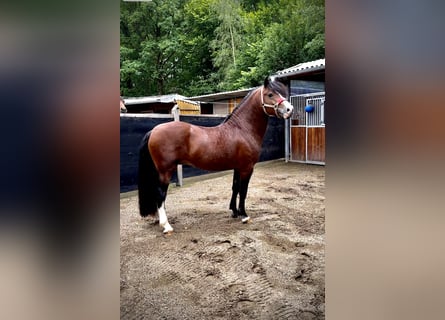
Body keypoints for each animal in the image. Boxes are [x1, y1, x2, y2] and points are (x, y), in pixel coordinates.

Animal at [137, 76, 294, 234]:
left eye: (281, 93)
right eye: (270, 94)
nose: (290, 109)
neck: (242, 129)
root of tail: (154, 130)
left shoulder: (237, 167)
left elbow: (235, 188)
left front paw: (234, 212)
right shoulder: (247, 168)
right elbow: (243, 190)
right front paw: (244, 215)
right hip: (166, 171)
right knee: (160, 194)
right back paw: (166, 225)